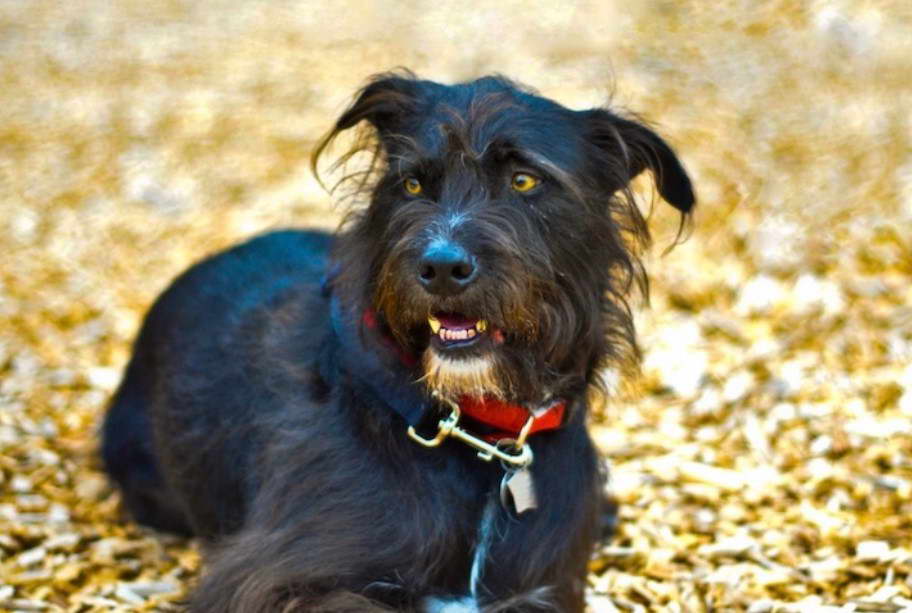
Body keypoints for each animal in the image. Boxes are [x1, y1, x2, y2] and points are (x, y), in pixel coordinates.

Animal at [101, 73, 692, 612]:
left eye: (525, 181)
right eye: (411, 185)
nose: (442, 266)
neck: (475, 435)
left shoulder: (546, 588)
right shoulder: (266, 580)